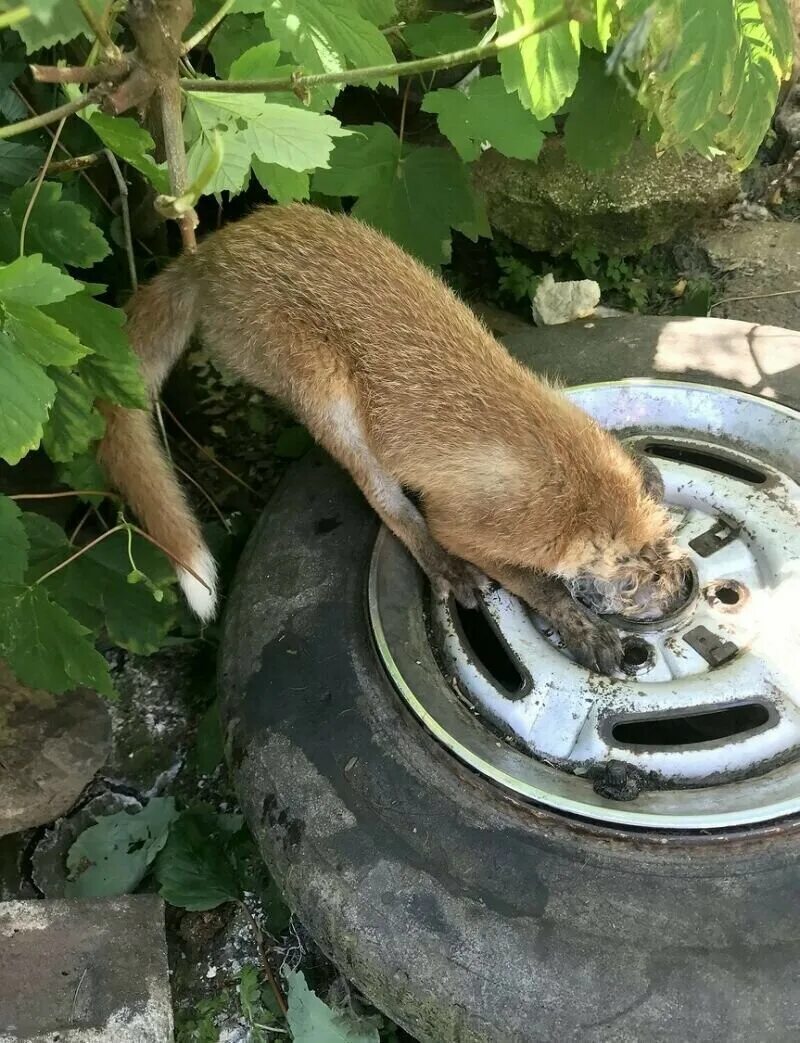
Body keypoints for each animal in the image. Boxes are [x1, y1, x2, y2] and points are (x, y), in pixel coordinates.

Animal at [98, 203, 688, 675]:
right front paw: (579, 626)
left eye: (674, 541)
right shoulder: (465, 525)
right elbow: (533, 582)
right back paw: (440, 564)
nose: (683, 589)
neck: (565, 474)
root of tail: (212, 251)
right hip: (327, 392)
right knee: (383, 497)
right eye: (632, 582)